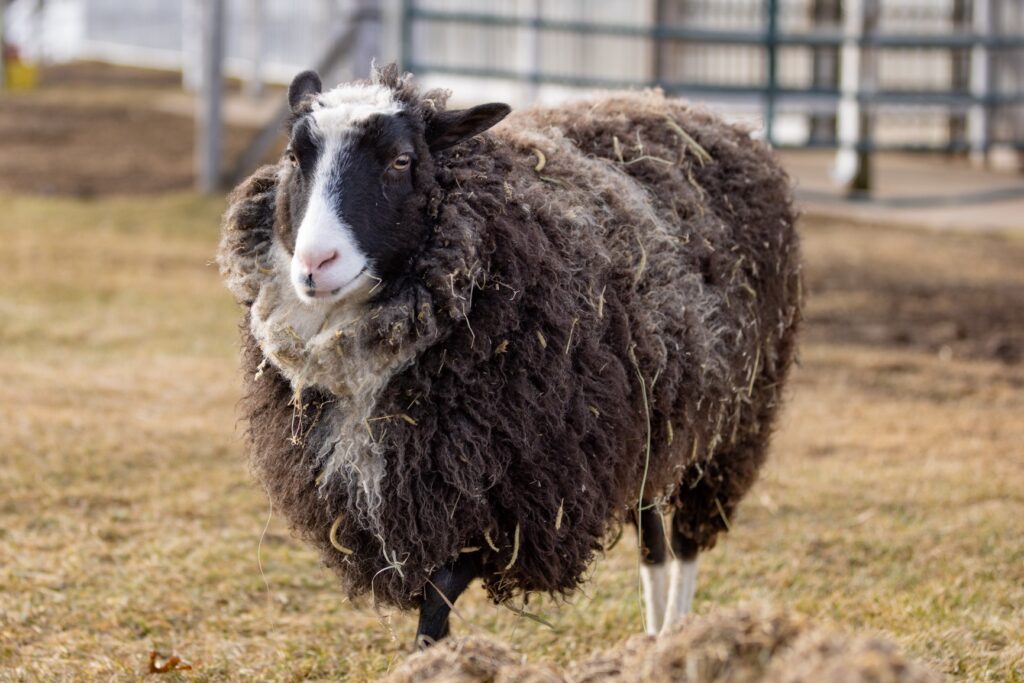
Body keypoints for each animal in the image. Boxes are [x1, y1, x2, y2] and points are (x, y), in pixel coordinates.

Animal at [220, 62, 802, 647]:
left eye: (401, 160)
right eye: (295, 157)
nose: (316, 263)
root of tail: (688, 108)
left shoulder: (515, 503)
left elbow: (437, 598)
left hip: (732, 424)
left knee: (684, 541)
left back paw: (677, 635)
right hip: (647, 425)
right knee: (652, 537)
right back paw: (653, 637)